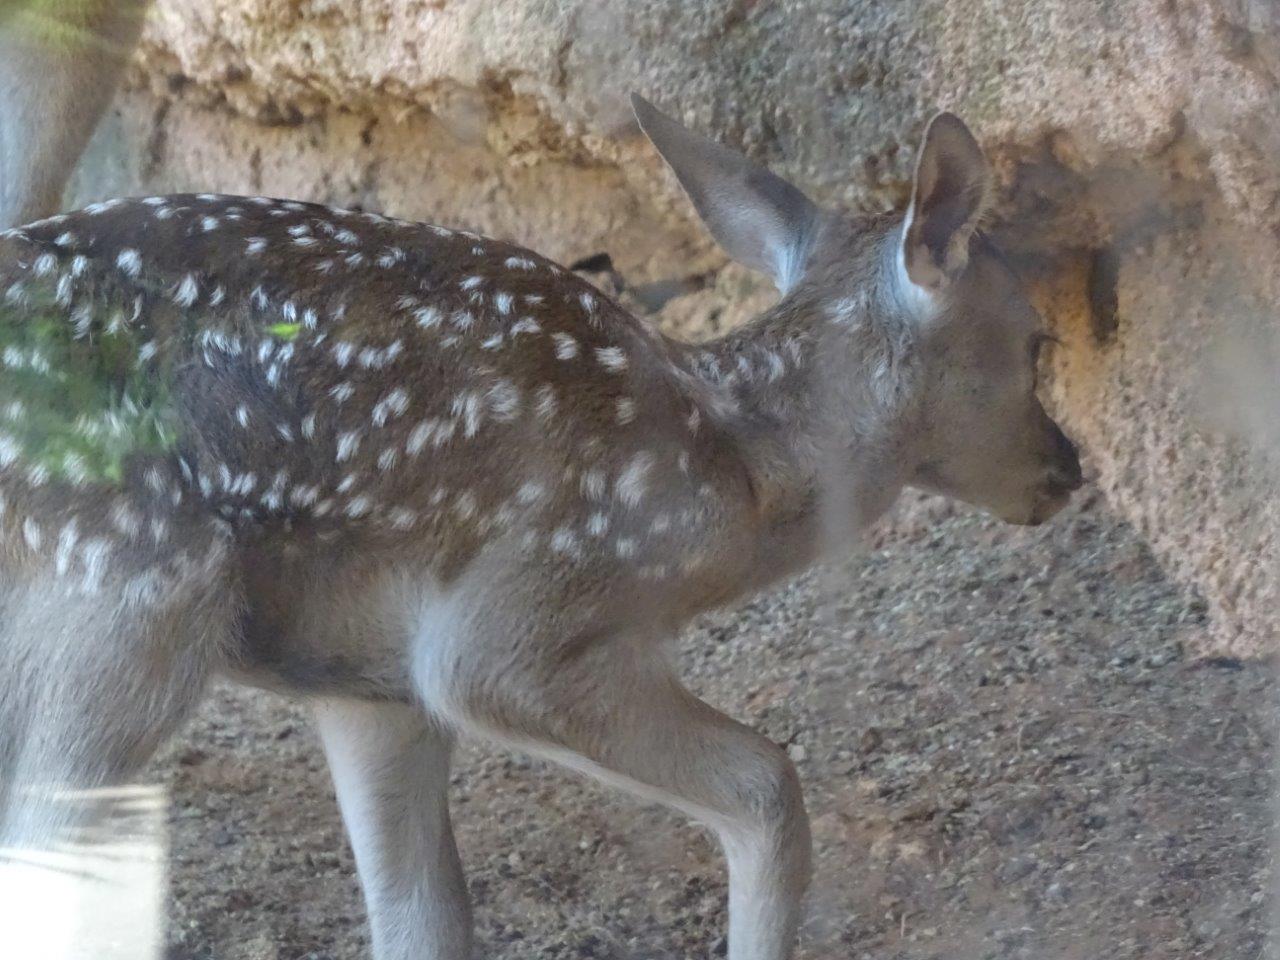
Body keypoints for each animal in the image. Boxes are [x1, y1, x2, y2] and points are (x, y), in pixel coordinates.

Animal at [0, 93, 1083, 960]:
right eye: (1035, 342)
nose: (1066, 470)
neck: (729, 475)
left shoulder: (369, 687)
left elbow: (426, 917)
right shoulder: (508, 631)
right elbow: (768, 782)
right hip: (132, 597)